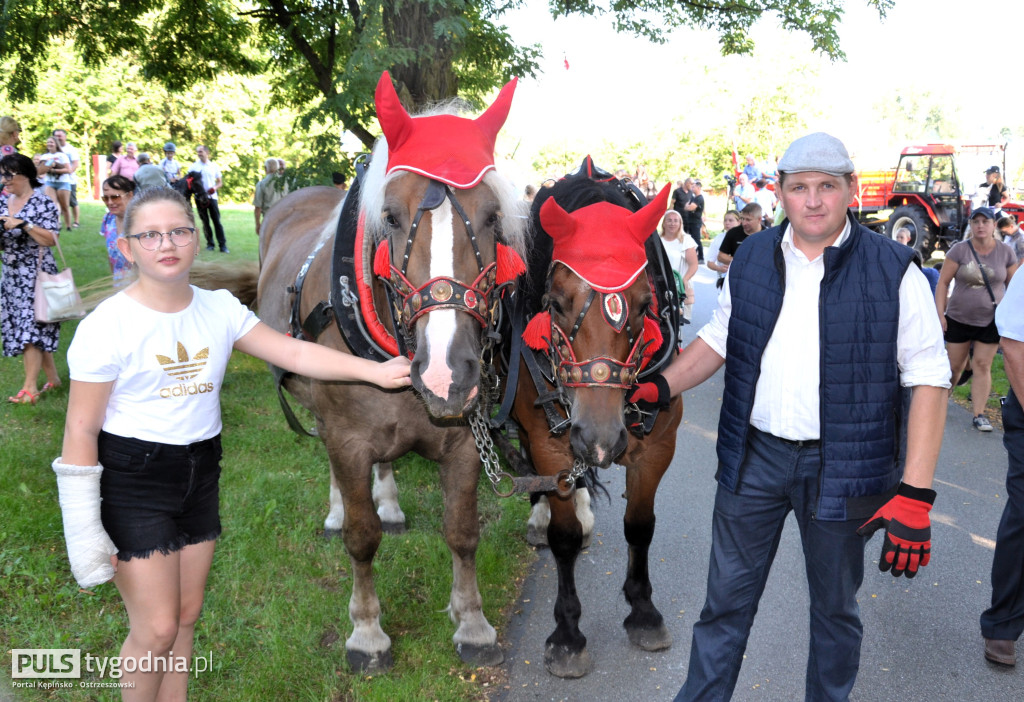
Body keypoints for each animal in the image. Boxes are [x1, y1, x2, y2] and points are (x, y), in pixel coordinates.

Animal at [249, 74, 528, 675]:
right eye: (393, 218)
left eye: (493, 217)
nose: (447, 375)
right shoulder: (347, 439)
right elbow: (361, 538)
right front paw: (367, 632)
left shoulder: (463, 441)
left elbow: (462, 531)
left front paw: (472, 621)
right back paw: (337, 509)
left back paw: (392, 502)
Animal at [512, 167, 688, 679]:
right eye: (555, 303)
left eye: (645, 303)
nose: (600, 439)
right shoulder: (551, 444)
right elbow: (564, 538)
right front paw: (568, 634)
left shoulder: (657, 446)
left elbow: (640, 526)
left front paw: (644, 611)